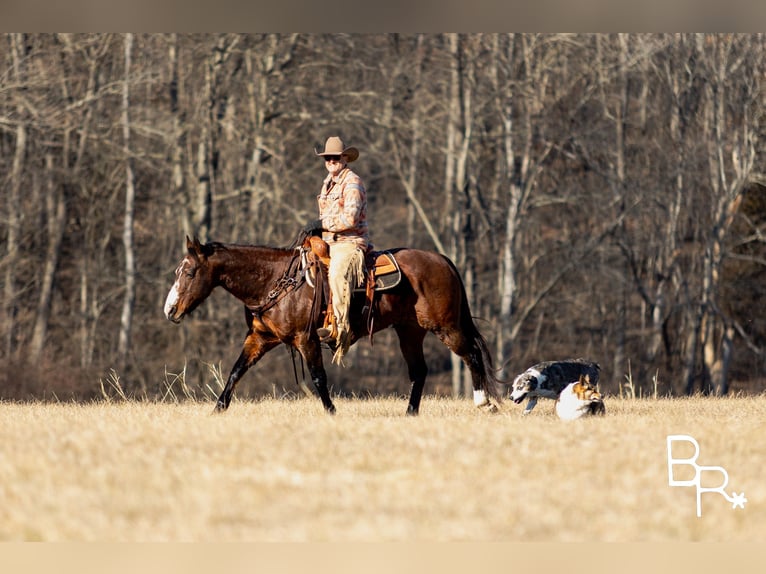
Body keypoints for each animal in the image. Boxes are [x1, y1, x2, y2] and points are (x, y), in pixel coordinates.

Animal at [166, 236, 504, 416]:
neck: (274, 282)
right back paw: (410, 413)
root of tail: (442, 260)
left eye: (190, 272)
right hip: (409, 331)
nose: (170, 310)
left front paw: (331, 412)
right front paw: (217, 409)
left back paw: (484, 402)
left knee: (472, 355)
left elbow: (318, 378)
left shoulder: (306, 340)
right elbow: (236, 371)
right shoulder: (260, 339)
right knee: (419, 371)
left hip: (445, 327)